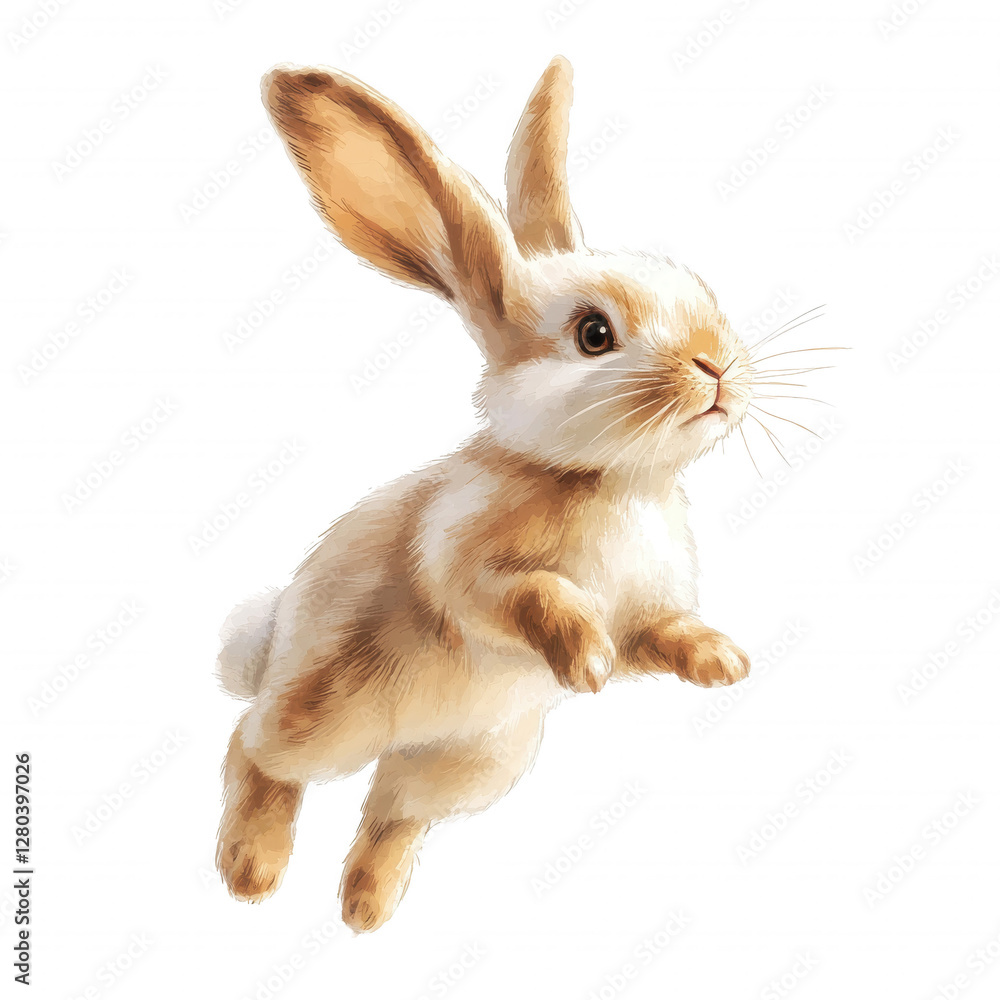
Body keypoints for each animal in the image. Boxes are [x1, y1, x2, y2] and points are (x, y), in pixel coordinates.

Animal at [216, 55, 755, 933]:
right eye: (594, 334)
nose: (717, 366)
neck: (613, 484)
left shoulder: (647, 611)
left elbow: (661, 634)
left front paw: (720, 663)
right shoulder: (466, 569)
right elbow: (533, 596)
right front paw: (585, 659)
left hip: (474, 762)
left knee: (393, 811)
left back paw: (366, 908)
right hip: (321, 714)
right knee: (253, 750)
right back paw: (250, 871)